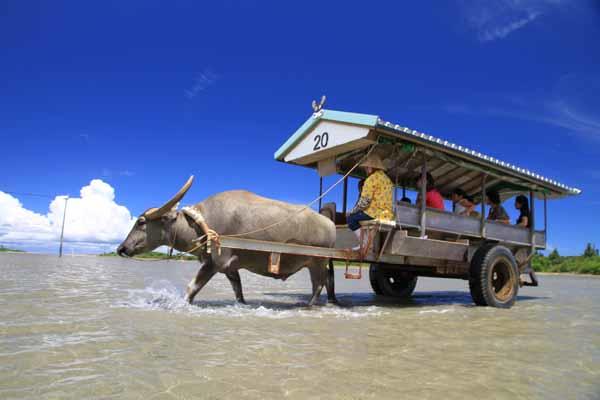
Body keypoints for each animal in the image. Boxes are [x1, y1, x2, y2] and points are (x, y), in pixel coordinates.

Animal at [115, 177, 336, 304]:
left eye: (141, 222)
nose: (121, 248)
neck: (201, 224)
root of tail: (330, 223)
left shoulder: (214, 263)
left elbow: (191, 289)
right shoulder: (231, 268)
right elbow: (238, 291)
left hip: (317, 261)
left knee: (319, 284)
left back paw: (309, 305)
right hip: (316, 263)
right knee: (326, 280)